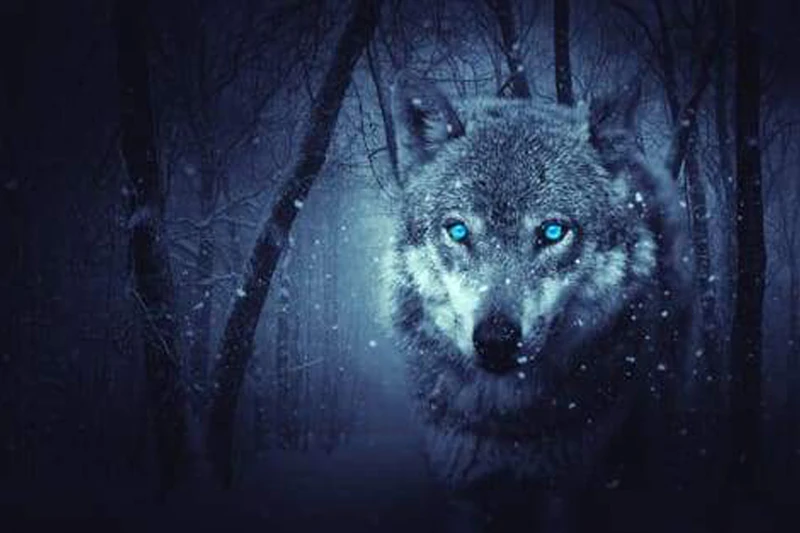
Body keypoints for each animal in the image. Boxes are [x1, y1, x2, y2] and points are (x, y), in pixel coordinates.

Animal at [383, 75, 693, 532]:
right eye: (458, 231)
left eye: (551, 231)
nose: (495, 340)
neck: (509, 421)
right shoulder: (465, 490)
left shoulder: (567, 490)